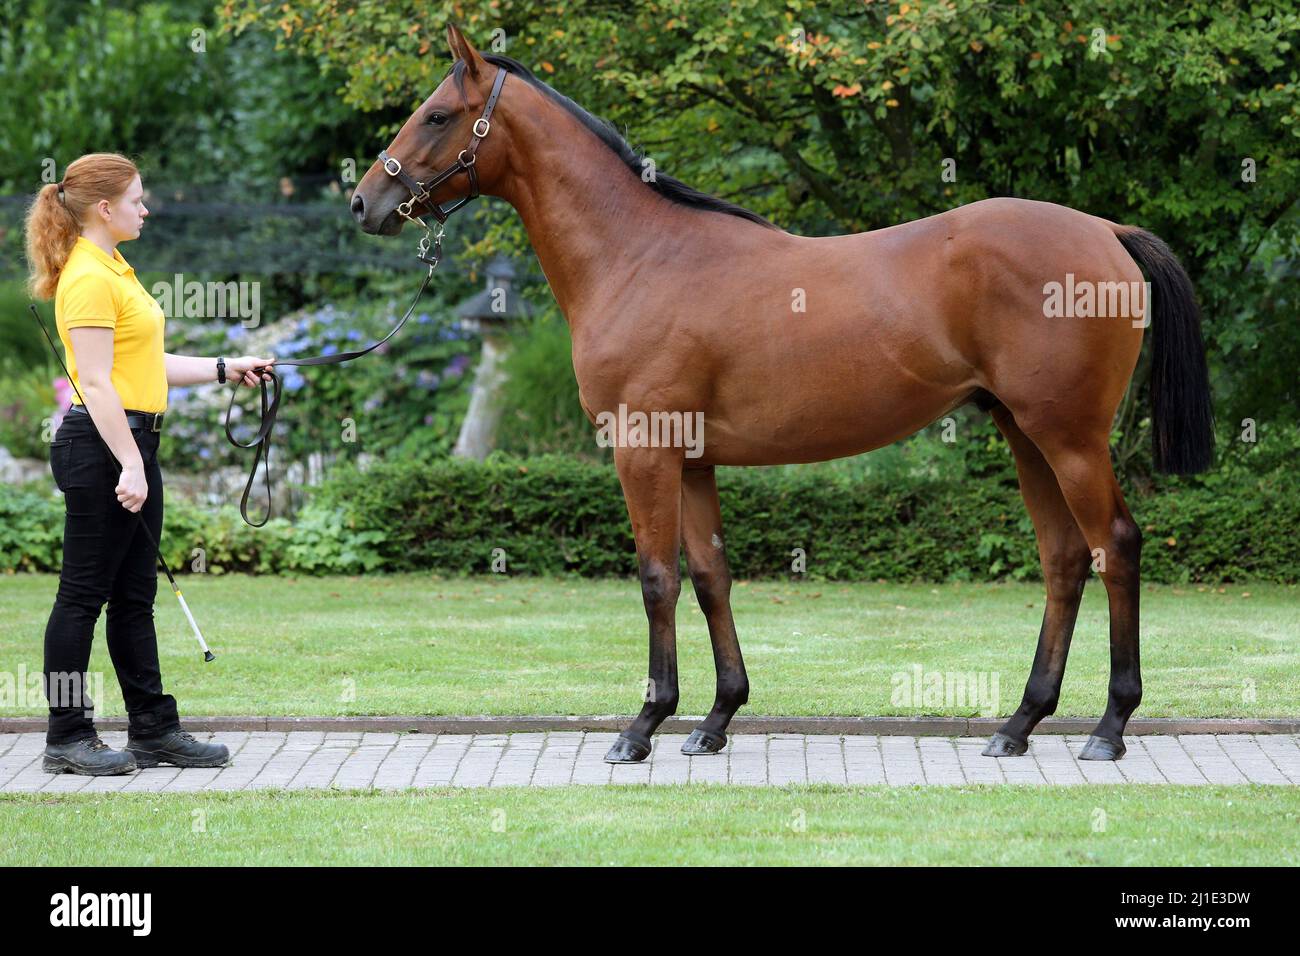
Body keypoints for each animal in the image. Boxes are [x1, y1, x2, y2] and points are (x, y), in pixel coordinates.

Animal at [351, 26, 1211, 764]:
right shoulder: (693, 459)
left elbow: (657, 579)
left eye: (436, 114)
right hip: (1025, 434)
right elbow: (710, 578)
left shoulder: (643, 451)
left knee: (1115, 547)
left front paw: (644, 725)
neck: (640, 253)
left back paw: (1109, 726)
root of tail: (1105, 230)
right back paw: (1020, 724)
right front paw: (716, 719)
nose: (364, 203)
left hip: (1069, 438)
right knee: (1064, 559)